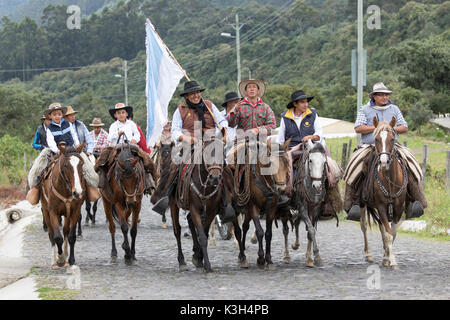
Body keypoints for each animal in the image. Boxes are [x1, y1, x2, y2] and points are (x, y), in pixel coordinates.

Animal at [167, 135, 234, 272]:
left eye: (222, 153)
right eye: (206, 153)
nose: (215, 177)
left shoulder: (211, 211)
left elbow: (204, 233)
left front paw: (198, 257)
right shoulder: (194, 209)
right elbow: (202, 236)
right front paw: (206, 265)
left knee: (189, 221)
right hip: (174, 204)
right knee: (177, 230)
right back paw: (181, 261)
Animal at [290, 140, 328, 268]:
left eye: (324, 162)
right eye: (310, 160)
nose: (317, 186)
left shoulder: (315, 209)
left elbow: (311, 232)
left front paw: (310, 258)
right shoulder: (302, 208)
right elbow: (311, 230)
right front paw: (316, 256)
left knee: (296, 222)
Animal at [358, 117, 408, 270]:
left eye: (392, 139)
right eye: (376, 139)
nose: (384, 162)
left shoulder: (398, 208)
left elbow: (392, 233)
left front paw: (387, 258)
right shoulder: (380, 207)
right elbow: (388, 235)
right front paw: (392, 261)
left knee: (381, 228)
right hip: (363, 204)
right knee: (364, 225)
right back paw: (368, 255)